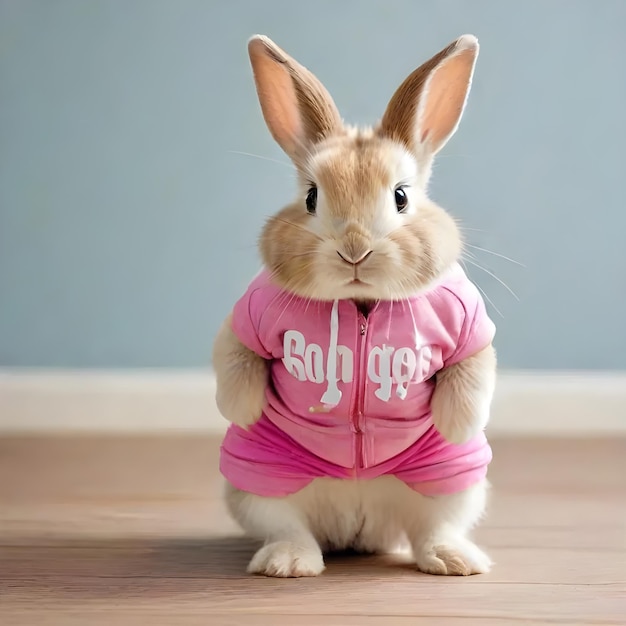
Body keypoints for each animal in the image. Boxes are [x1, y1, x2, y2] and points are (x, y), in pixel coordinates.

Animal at [212, 34, 494, 576]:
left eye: (401, 197)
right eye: (311, 197)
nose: (354, 249)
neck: (360, 304)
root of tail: (357, 526)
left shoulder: (469, 324)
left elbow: (473, 372)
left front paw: (456, 423)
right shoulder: (249, 316)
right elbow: (233, 359)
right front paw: (243, 409)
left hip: (454, 481)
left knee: (433, 530)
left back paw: (455, 561)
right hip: (258, 481)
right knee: (287, 527)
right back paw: (288, 563)